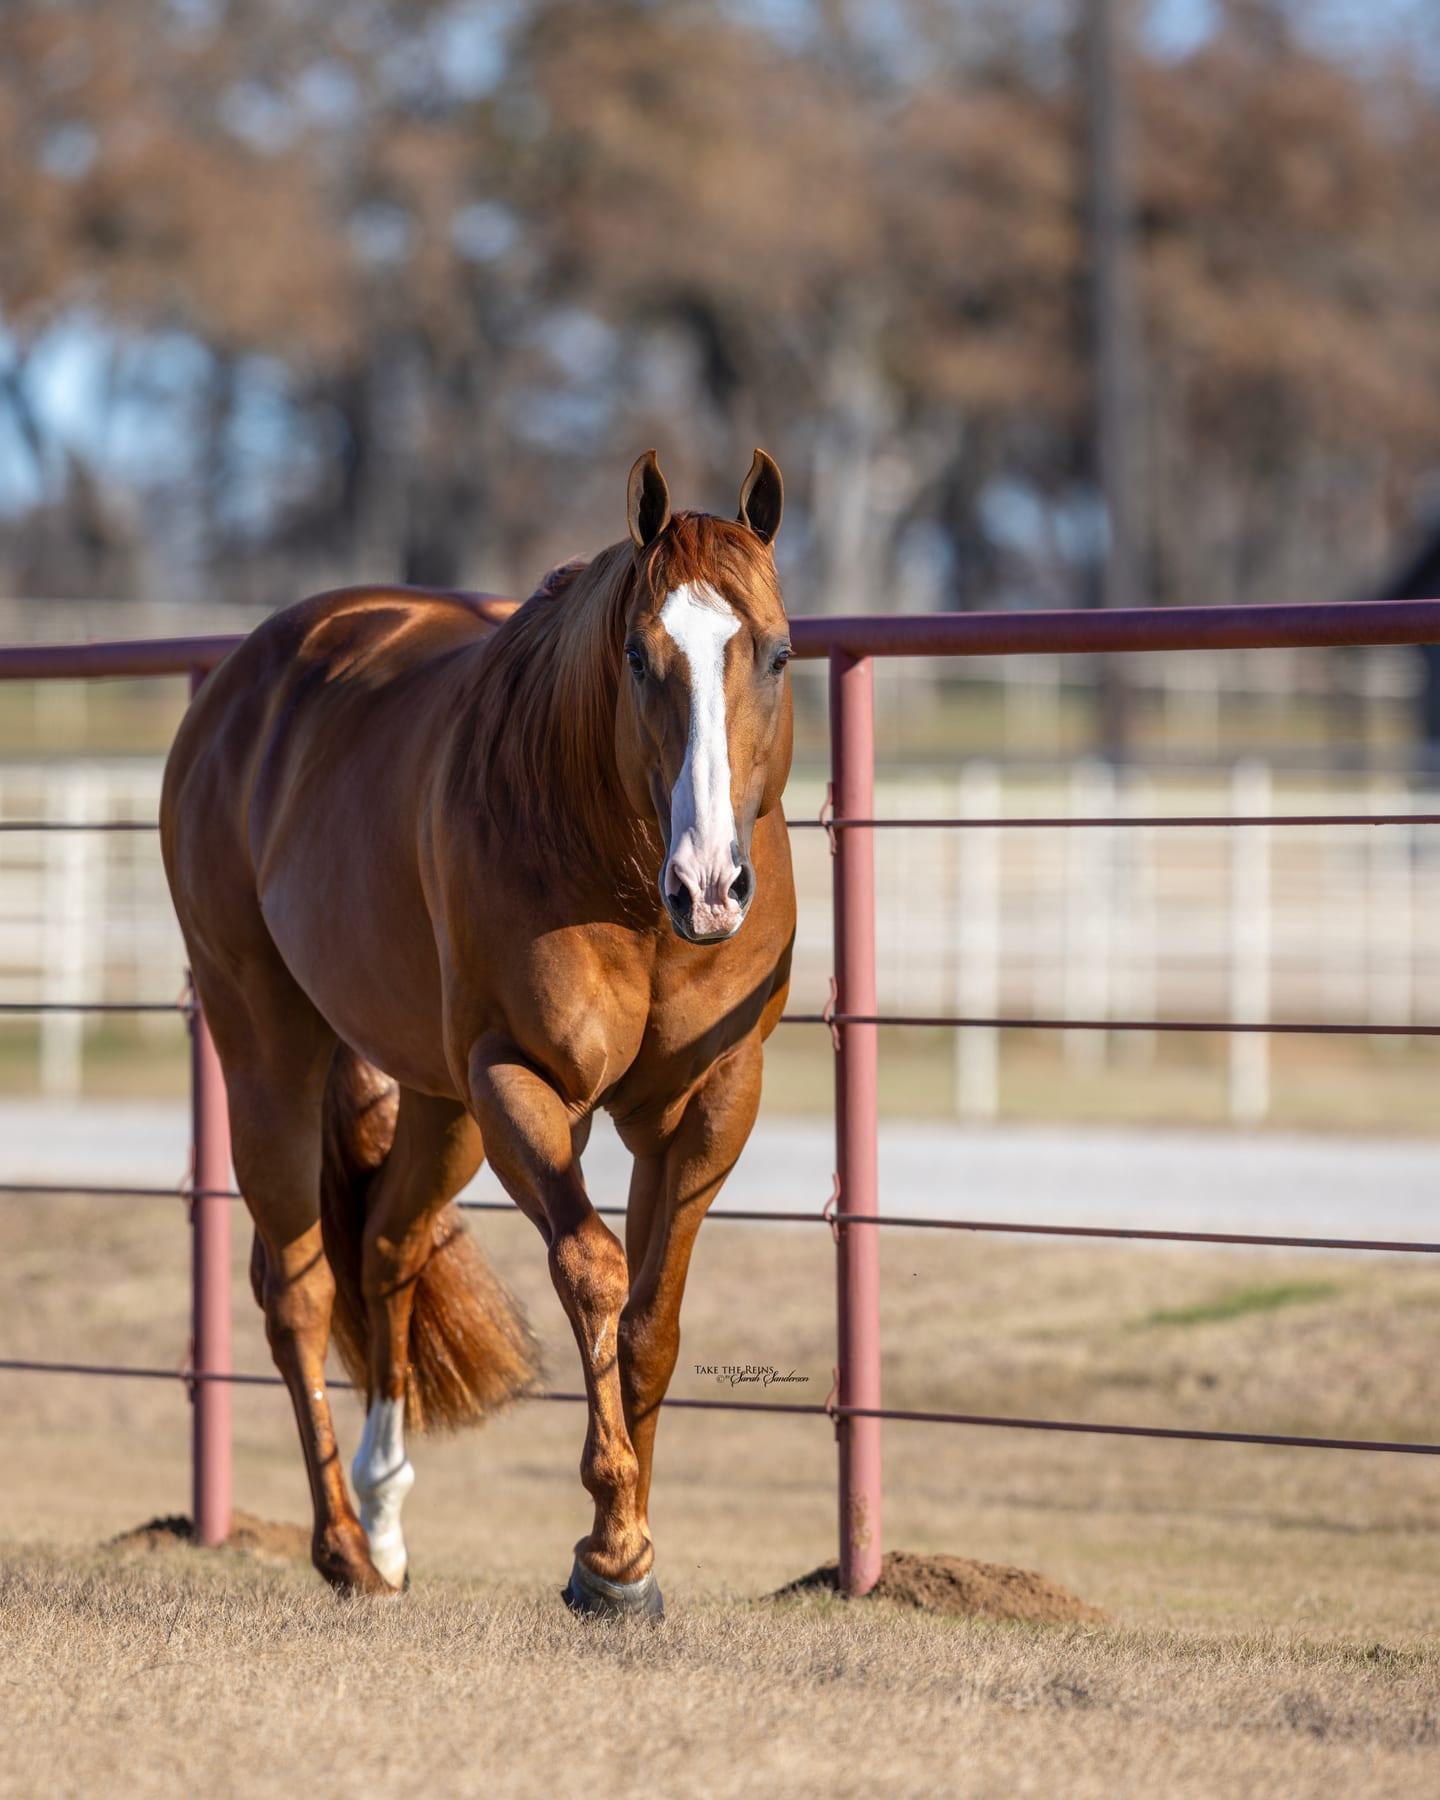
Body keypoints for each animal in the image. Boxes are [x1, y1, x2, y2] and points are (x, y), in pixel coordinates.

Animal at [160, 449, 795, 1617]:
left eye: (775, 653)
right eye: (637, 658)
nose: (709, 885)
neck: (624, 880)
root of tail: (246, 683)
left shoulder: (710, 1100)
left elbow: (653, 1318)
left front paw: (632, 1541)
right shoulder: (519, 1081)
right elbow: (594, 1271)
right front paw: (611, 1555)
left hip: (439, 1104)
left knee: (386, 1246)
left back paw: (383, 1518)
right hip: (269, 1048)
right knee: (300, 1288)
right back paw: (343, 1547)